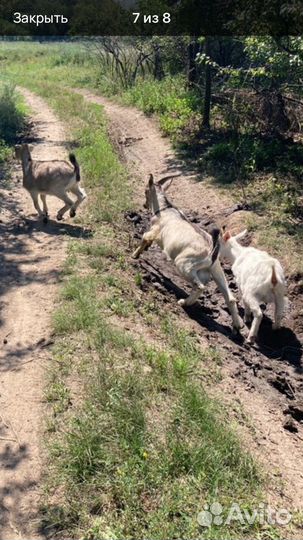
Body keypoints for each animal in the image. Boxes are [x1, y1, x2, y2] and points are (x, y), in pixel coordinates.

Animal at [133, 175, 242, 332]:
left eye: (145, 191)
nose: (144, 205)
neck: (164, 209)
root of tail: (212, 251)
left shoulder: (154, 231)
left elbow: (145, 238)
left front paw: (134, 255)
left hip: (184, 264)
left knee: (200, 287)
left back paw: (184, 302)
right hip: (216, 270)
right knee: (230, 298)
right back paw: (237, 325)